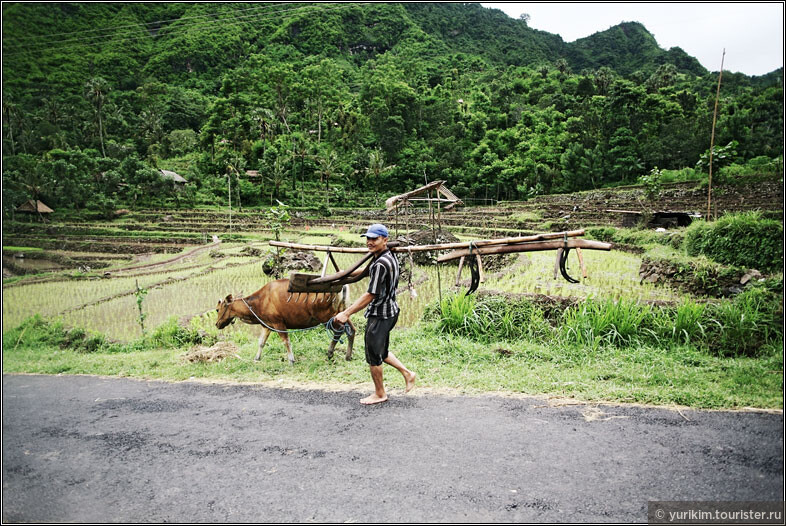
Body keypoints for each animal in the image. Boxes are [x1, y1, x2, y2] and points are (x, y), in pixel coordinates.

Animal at [211, 280, 352, 368]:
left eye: (217, 309)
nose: (217, 324)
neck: (258, 303)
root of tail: (342, 287)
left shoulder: (278, 323)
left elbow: (286, 342)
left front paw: (291, 360)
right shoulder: (266, 325)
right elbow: (261, 342)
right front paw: (256, 358)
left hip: (327, 316)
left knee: (340, 331)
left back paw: (331, 353)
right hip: (342, 312)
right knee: (351, 330)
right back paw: (347, 356)